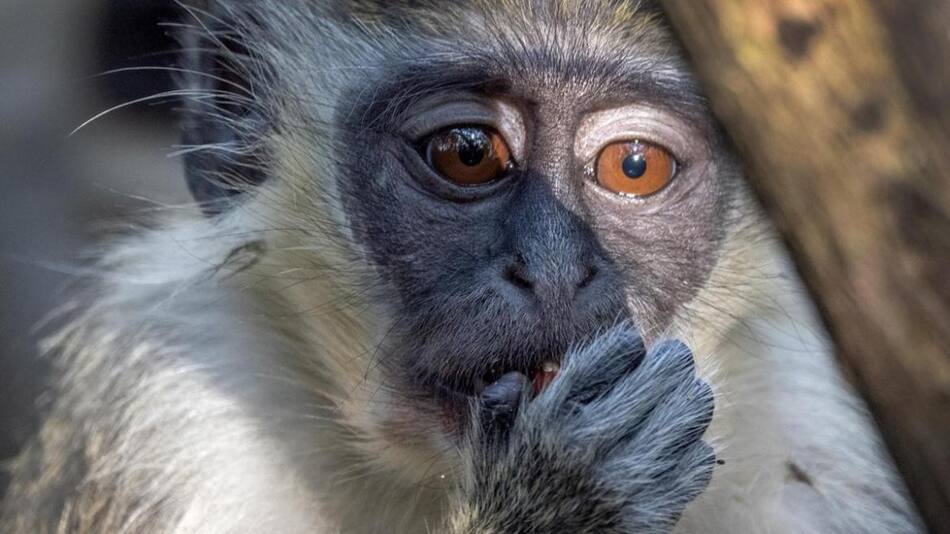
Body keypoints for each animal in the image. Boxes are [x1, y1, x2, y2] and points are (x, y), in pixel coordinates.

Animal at [0, 1, 926, 533]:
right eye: (468, 152)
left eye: (634, 166)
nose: (554, 271)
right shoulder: (163, 413)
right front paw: (563, 497)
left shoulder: (823, 448)